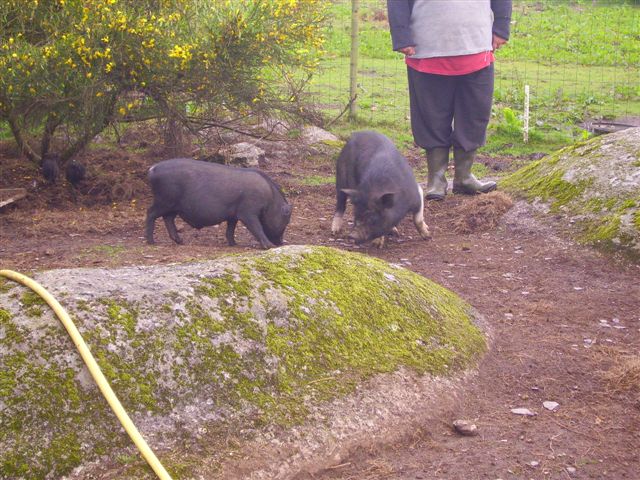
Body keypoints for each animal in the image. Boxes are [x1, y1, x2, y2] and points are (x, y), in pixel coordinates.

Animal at [146, 158, 292, 249]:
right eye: (285, 222)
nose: (280, 243)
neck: (270, 200)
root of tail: (152, 169)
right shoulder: (247, 212)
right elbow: (257, 228)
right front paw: (270, 246)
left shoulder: (233, 215)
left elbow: (230, 230)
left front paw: (234, 244)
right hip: (164, 200)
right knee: (151, 213)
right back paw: (151, 242)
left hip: (173, 206)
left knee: (168, 218)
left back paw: (180, 241)